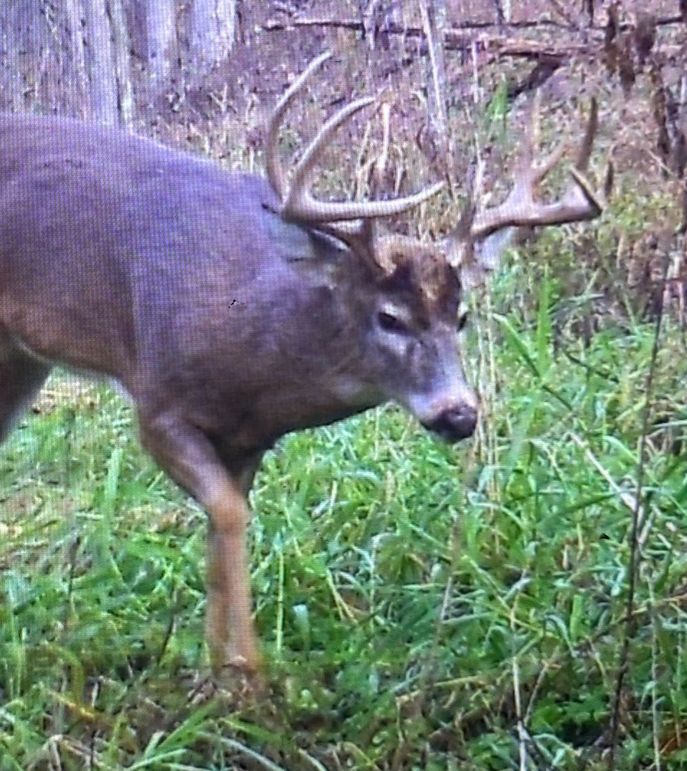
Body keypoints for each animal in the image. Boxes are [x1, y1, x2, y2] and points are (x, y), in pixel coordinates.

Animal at [0, 51, 606, 686]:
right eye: (389, 317)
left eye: (461, 317)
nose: (459, 414)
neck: (251, 343)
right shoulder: (158, 402)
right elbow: (229, 514)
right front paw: (247, 674)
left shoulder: (247, 437)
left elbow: (223, 525)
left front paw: (221, 669)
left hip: (19, 356)